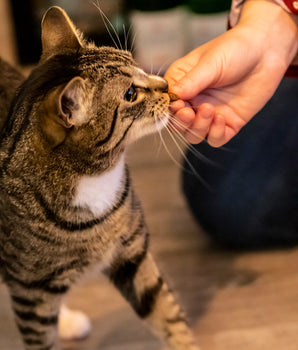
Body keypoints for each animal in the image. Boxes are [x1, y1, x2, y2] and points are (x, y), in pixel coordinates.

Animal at [1, 6, 199, 350]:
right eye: (131, 94)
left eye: (136, 62)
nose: (164, 84)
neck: (95, 178)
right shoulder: (30, 292)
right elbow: (40, 340)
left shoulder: (131, 253)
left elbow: (166, 314)